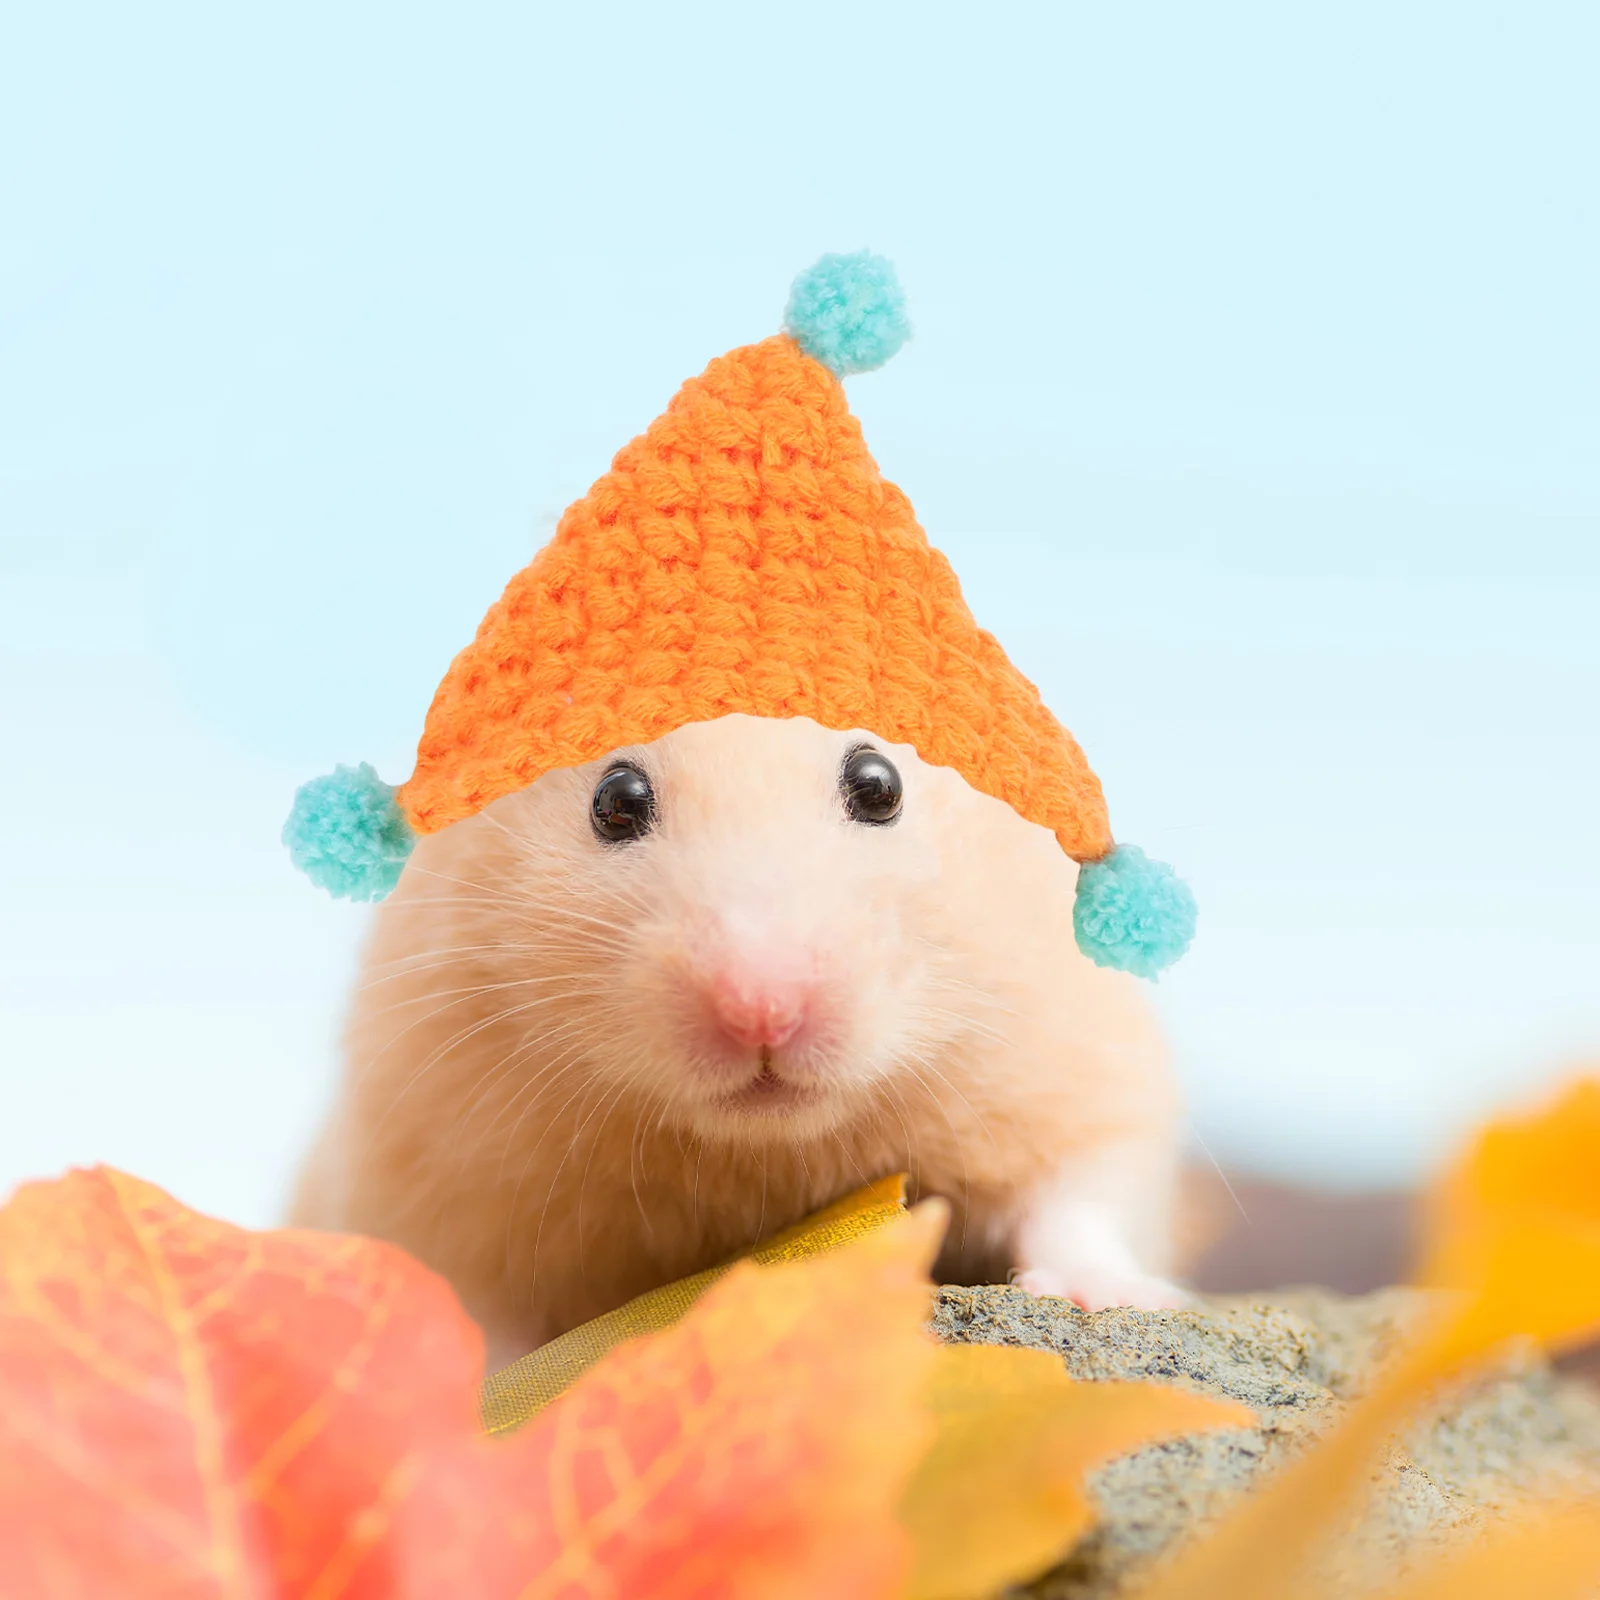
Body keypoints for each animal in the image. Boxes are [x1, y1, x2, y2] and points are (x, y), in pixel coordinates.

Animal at [292, 712, 1184, 1366]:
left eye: (878, 786)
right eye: (616, 800)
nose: (764, 1012)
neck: (761, 1155)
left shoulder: (1074, 1067)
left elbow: (1076, 1200)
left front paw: (1116, 1298)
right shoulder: (430, 1162)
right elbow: (476, 1310)